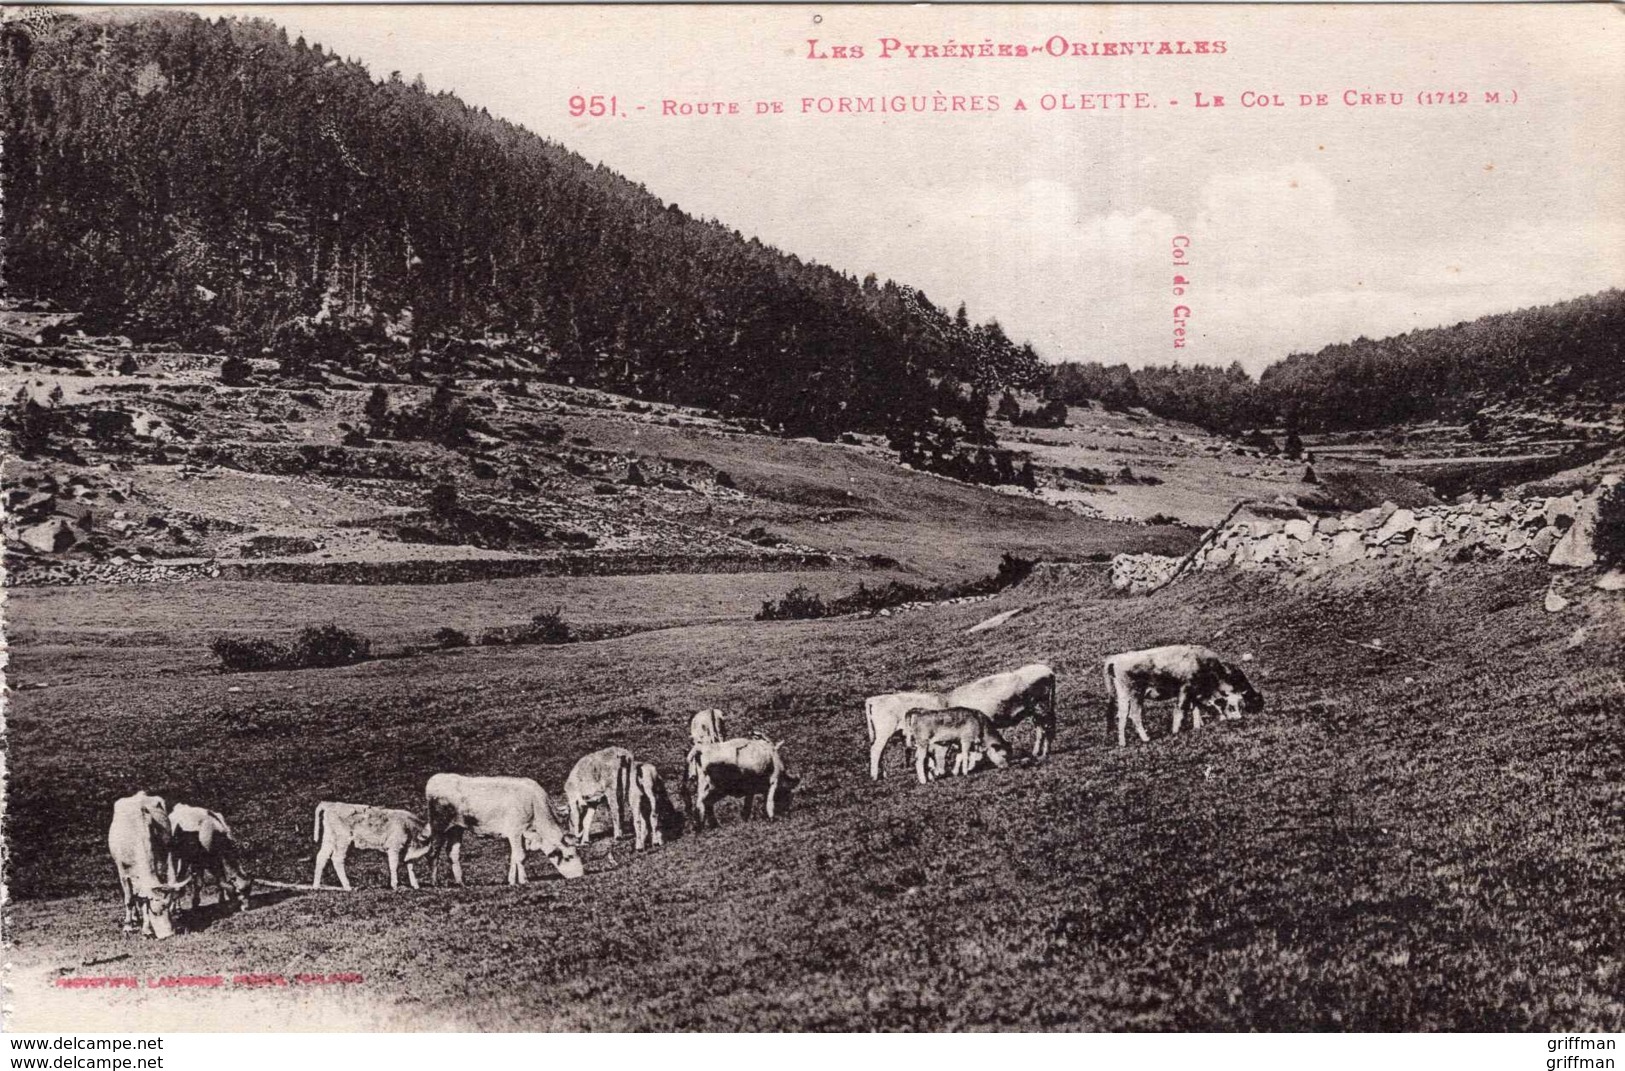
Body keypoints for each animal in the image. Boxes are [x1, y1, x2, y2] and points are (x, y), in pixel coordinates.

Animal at [107, 793, 189, 942]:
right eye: (155, 911)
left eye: (168, 906)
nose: (169, 934)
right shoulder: (123, 872)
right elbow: (129, 899)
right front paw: (127, 927)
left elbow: (143, 900)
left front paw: (146, 930)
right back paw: (133, 918)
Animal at [425, 773, 585, 884]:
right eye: (569, 857)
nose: (580, 875)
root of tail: (436, 779)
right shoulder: (516, 831)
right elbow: (520, 856)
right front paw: (524, 880)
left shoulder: (522, 834)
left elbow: (515, 856)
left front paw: (512, 881)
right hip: (439, 825)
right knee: (433, 852)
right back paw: (434, 882)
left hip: (456, 828)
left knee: (452, 853)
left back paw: (461, 882)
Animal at [1098, 650, 1261, 750]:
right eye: (1232, 706)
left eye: (1240, 706)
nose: (1238, 718)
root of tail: (1115, 659)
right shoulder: (1185, 689)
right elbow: (1180, 710)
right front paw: (1175, 731)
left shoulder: (1194, 692)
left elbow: (1195, 709)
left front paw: (1197, 726)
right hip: (1135, 695)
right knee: (1134, 715)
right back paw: (1145, 738)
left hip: (1123, 696)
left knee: (1122, 716)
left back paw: (1122, 742)